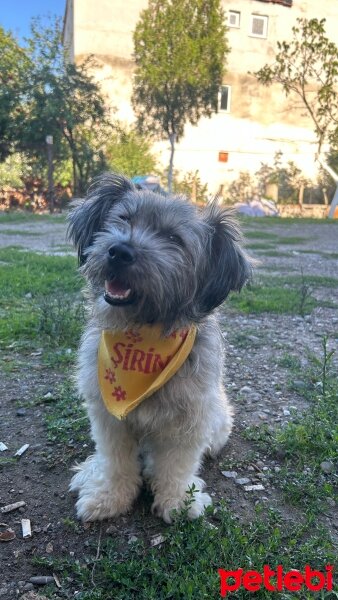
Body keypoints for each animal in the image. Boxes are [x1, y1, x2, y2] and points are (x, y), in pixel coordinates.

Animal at [67, 172, 251, 520]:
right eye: (124, 219)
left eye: (173, 238)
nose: (119, 251)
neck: (143, 333)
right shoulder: (108, 416)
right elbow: (114, 461)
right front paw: (109, 496)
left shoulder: (191, 419)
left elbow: (177, 465)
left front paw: (178, 501)